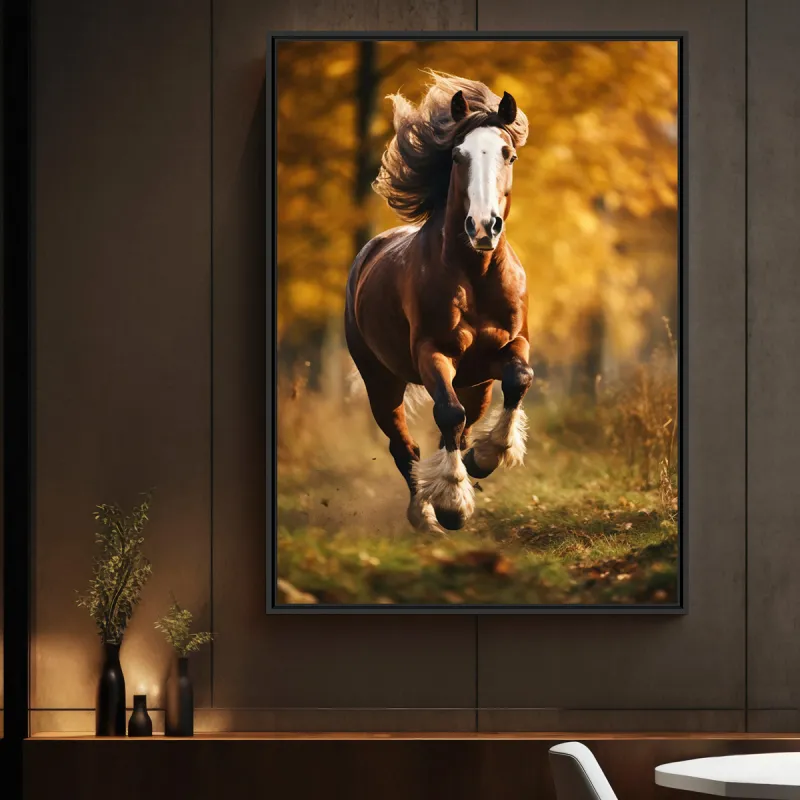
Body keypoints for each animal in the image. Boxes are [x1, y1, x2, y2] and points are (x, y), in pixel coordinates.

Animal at [344, 71, 534, 533]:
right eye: (458, 155)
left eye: (509, 154)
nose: (483, 226)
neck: (476, 275)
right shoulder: (433, 352)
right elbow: (447, 414)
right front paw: (452, 503)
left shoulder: (510, 344)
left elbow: (519, 378)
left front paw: (485, 457)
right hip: (381, 380)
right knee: (403, 446)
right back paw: (423, 513)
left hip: (477, 382)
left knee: (464, 422)